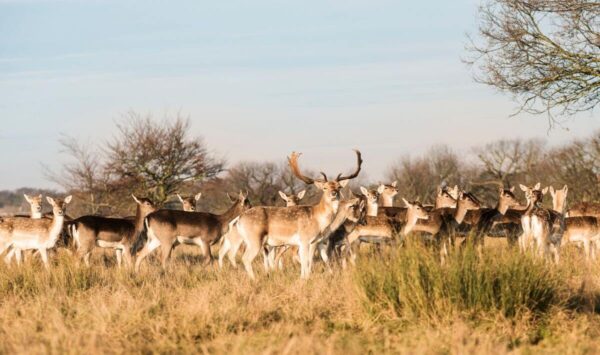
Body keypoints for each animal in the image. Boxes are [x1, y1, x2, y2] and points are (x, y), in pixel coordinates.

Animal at [237, 150, 364, 280]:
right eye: (325, 187)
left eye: (339, 187)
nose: (334, 193)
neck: (317, 218)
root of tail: (239, 220)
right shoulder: (304, 239)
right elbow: (306, 261)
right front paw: (305, 279)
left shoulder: (314, 242)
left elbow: (309, 261)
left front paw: (305, 277)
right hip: (255, 239)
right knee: (246, 258)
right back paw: (254, 279)